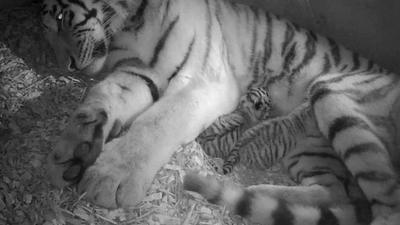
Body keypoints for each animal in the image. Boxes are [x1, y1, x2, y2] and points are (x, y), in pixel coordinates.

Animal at [41, 0, 400, 222]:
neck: (127, 21)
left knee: (383, 200)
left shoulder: (205, 78)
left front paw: (109, 176)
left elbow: (158, 121)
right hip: (312, 147)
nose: (66, 65)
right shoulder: (139, 71)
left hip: (333, 98)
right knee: (337, 192)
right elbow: (104, 92)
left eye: (60, 19)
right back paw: (257, 194)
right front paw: (74, 151)